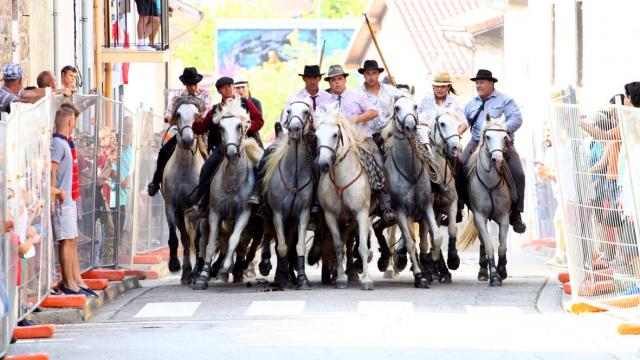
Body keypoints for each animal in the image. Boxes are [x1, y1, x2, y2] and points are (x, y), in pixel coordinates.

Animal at [192, 100, 262, 290]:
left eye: (239, 126)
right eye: (221, 127)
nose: (231, 153)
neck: (233, 179)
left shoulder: (244, 213)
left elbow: (234, 241)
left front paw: (224, 271)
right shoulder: (215, 213)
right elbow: (210, 246)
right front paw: (203, 277)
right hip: (204, 220)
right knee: (203, 242)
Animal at [264, 100, 316, 290]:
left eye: (306, 111)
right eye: (289, 111)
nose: (294, 128)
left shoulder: (303, 214)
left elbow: (299, 246)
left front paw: (302, 279)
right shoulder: (278, 214)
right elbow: (281, 247)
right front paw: (282, 278)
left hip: (292, 221)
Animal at [316, 101, 376, 290]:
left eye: (335, 135)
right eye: (316, 136)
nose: (323, 164)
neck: (341, 180)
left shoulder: (362, 213)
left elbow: (363, 247)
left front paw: (367, 280)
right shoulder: (330, 216)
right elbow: (337, 246)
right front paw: (341, 279)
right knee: (346, 243)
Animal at [458, 116, 512, 286]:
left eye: (505, 137)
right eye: (487, 137)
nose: (498, 159)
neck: (489, 183)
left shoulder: (504, 217)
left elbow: (502, 246)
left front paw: (502, 270)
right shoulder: (480, 217)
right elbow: (489, 246)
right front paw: (494, 275)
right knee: (482, 241)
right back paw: (483, 271)